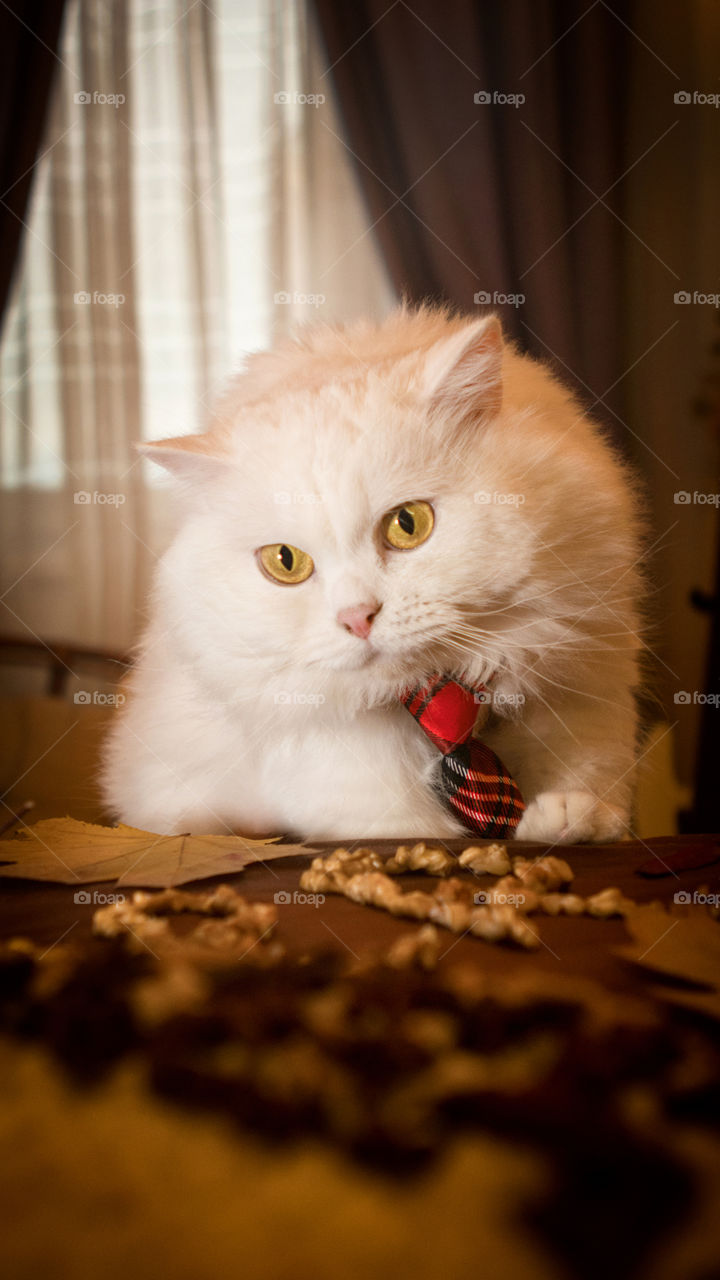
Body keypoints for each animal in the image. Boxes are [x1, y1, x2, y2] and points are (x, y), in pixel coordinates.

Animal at [99, 305, 638, 844]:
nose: (358, 617)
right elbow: (398, 823)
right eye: (285, 561)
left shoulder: (587, 686)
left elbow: (586, 777)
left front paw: (571, 818)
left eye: (408, 523)